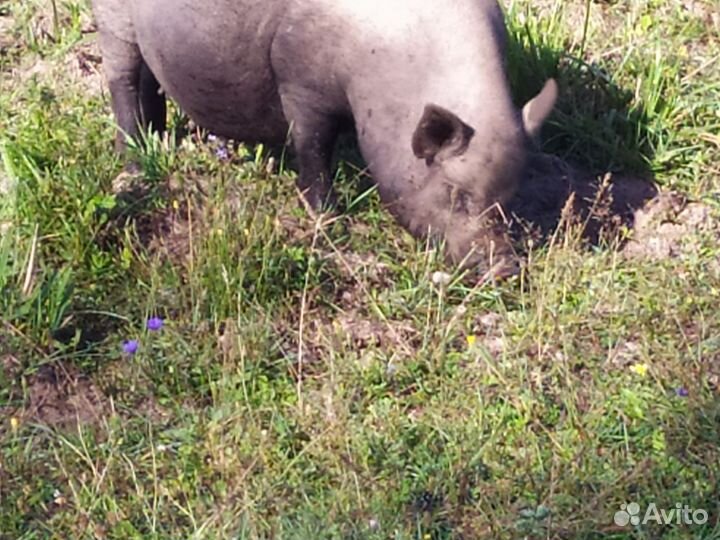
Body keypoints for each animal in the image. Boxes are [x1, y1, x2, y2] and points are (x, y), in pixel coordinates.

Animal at [91, 0, 556, 276]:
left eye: (508, 197)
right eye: (455, 193)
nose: (505, 266)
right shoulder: (300, 83)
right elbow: (314, 147)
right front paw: (328, 220)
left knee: (150, 86)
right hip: (113, 19)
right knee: (123, 82)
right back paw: (134, 166)